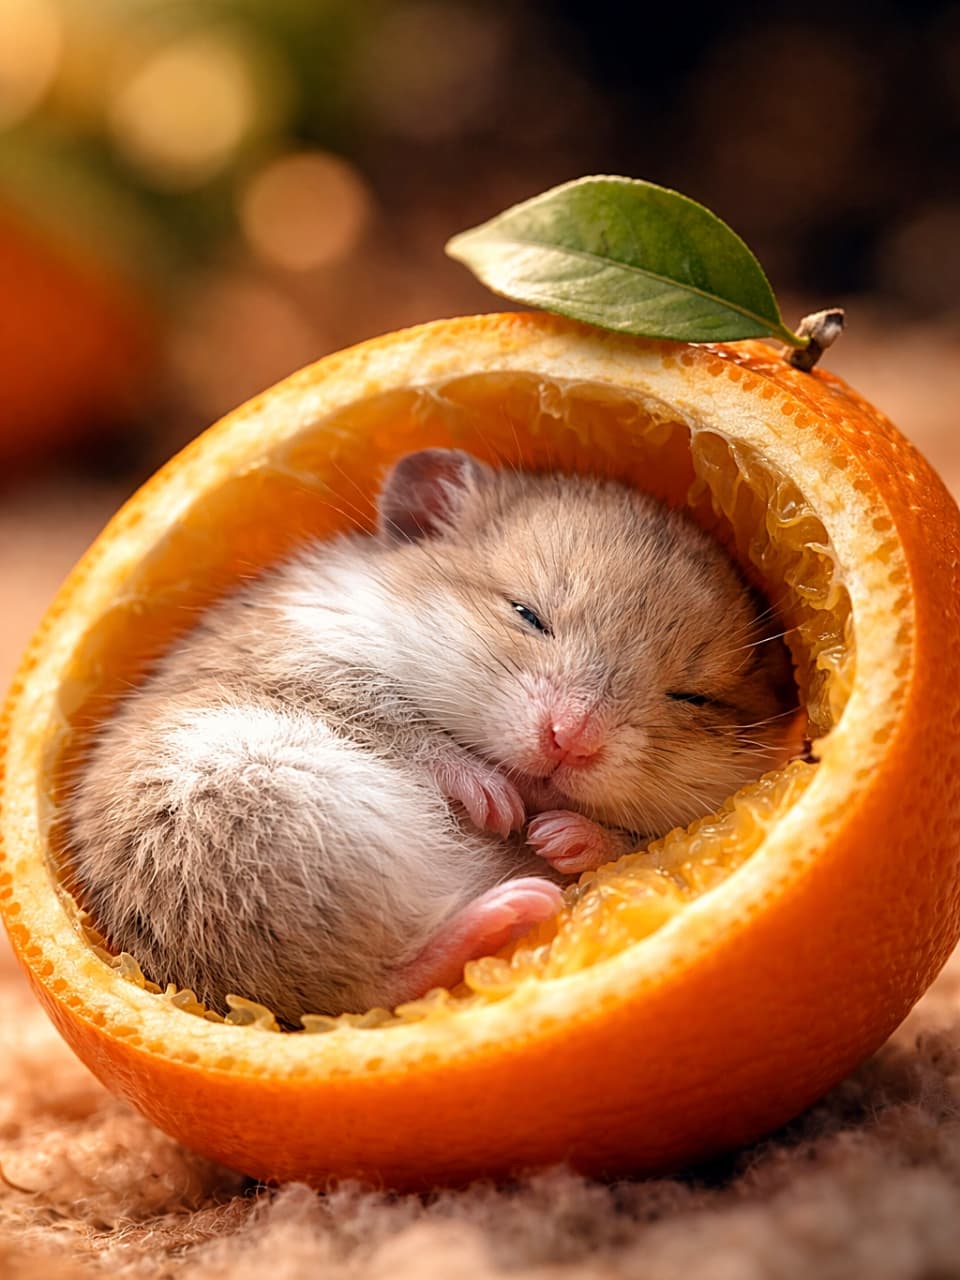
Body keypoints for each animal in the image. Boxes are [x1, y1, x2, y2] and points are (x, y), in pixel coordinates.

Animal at [67, 449, 799, 1025]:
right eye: (525, 613)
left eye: (695, 697)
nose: (569, 740)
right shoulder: (318, 661)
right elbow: (412, 732)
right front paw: (498, 806)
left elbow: (635, 839)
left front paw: (558, 837)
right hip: (265, 819)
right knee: (368, 984)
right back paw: (512, 904)